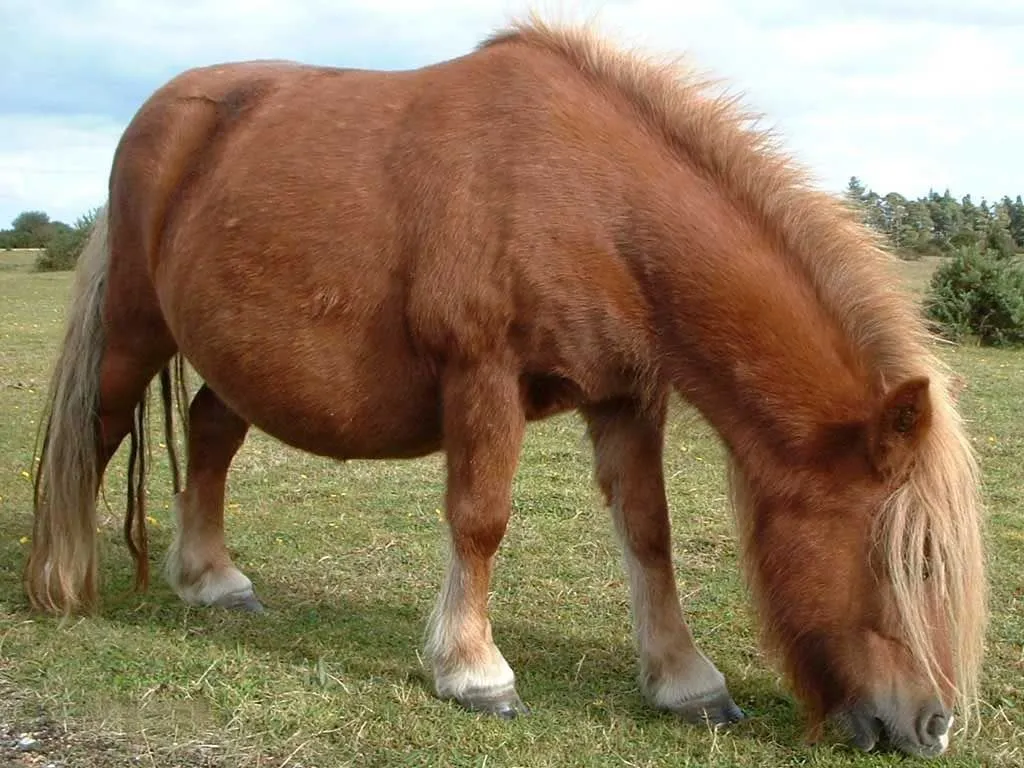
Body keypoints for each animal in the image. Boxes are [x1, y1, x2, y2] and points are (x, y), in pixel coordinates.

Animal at [24, 16, 983, 757]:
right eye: (910, 561)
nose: (932, 725)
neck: (595, 202)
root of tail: (158, 118)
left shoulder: (628, 396)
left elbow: (650, 535)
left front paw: (685, 681)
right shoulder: (483, 376)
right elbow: (480, 521)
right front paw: (473, 670)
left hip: (241, 357)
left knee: (210, 432)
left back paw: (213, 580)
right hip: (136, 330)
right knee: (96, 431)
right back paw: (58, 582)